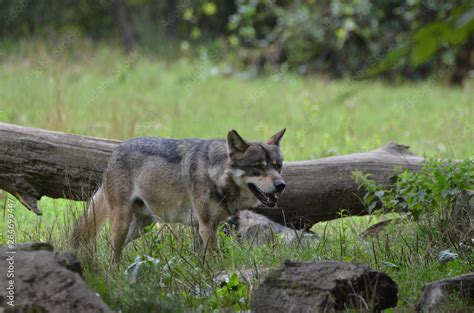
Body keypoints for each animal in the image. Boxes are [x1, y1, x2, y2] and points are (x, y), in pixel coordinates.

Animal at [71, 128, 286, 260]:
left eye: (278, 166)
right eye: (258, 167)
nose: (281, 185)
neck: (215, 175)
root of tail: (115, 150)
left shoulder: (207, 227)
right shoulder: (206, 226)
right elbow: (216, 258)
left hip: (142, 226)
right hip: (122, 223)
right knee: (112, 252)